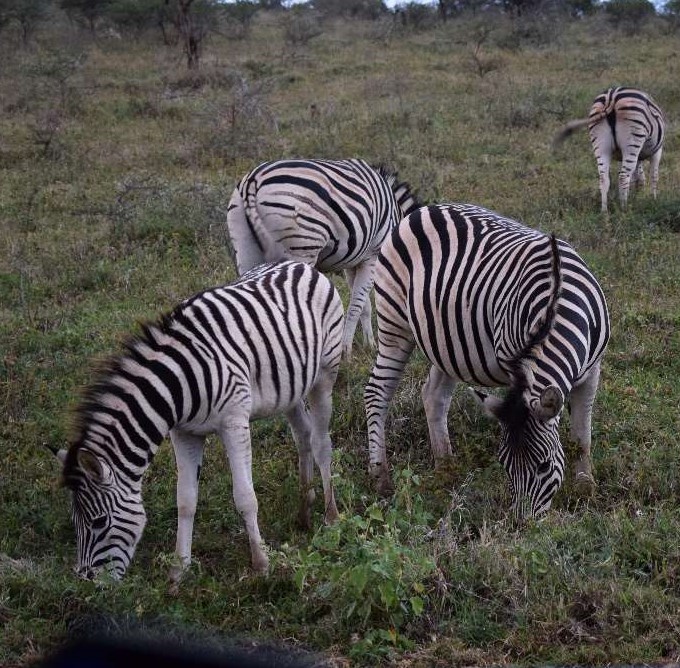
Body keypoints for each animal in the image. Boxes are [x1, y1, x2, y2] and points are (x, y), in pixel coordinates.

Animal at [49, 258, 342, 580]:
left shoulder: (233, 421)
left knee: (320, 442)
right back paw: (304, 511)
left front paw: (261, 564)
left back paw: (331, 516)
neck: (178, 385)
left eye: (99, 522)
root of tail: (297, 263)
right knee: (303, 436)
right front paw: (178, 571)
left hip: (324, 374)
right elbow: (186, 502)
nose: (87, 581)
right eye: (75, 522)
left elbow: (245, 497)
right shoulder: (184, 433)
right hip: (290, 388)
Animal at [226, 158, 422, 360]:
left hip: (244, 245)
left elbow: (364, 304)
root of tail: (253, 180)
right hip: (303, 246)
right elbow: (356, 304)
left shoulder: (353, 262)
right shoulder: (372, 256)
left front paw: (369, 344)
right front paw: (346, 351)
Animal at [366, 206, 612, 520]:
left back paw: (446, 466)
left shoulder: (592, 370)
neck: (554, 308)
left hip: (447, 342)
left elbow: (582, 435)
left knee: (433, 396)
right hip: (394, 322)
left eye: (544, 465)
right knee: (377, 392)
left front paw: (585, 486)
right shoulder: (514, 365)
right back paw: (381, 478)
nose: (523, 523)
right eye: (505, 465)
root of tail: (422, 210)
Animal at [552, 85, 664, 213]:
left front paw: (636, 196)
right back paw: (624, 209)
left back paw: (604, 211)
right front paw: (653, 200)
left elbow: (637, 176)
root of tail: (611, 98)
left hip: (601, 145)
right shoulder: (657, 151)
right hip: (632, 142)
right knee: (623, 177)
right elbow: (653, 176)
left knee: (603, 178)